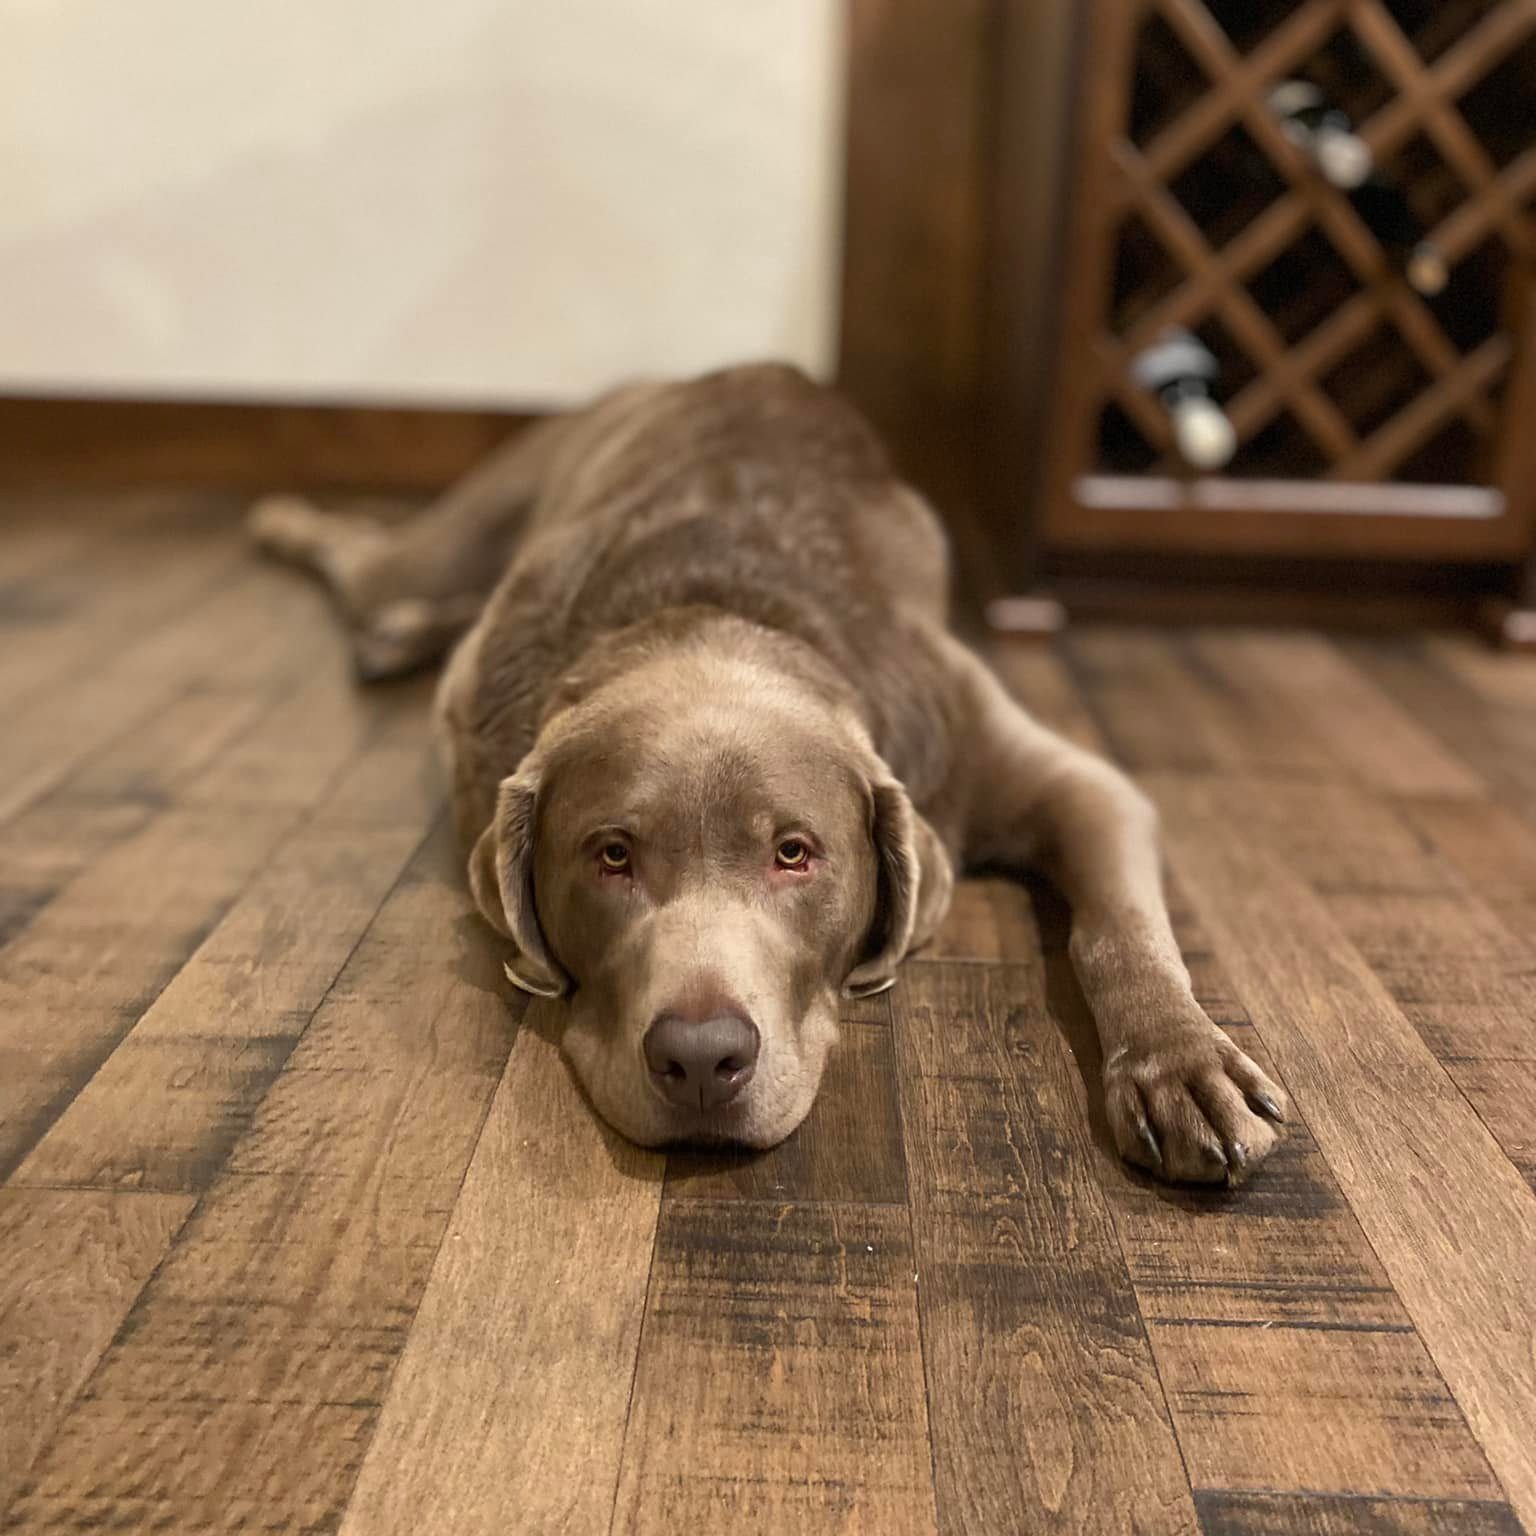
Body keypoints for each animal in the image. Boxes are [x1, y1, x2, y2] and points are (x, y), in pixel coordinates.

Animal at [251, 365, 1284, 1179]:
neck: (719, 609)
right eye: (611, 856)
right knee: (367, 558)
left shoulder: (1045, 771)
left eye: (795, 853)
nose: (702, 1059)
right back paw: (301, 539)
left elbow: (1117, 929)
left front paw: (1182, 1067)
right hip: (463, 527)